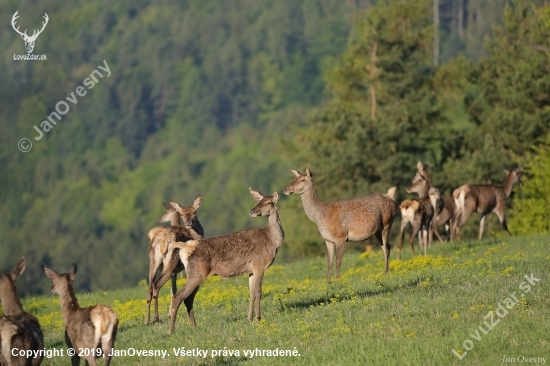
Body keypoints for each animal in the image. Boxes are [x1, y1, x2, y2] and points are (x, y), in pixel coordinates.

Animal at [147, 196, 205, 324]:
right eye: (181, 213)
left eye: (194, 212)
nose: (188, 223)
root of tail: (162, 240)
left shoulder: (175, 272)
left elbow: (173, 290)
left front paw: (169, 313)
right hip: (170, 262)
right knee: (156, 284)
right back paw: (156, 318)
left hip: (153, 262)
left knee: (150, 287)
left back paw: (147, 320)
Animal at [168, 189, 284, 334]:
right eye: (259, 201)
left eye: (268, 202)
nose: (252, 211)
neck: (272, 241)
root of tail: (186, 247)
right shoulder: (259, 264)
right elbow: (258, 292)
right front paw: (258, 318)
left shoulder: (251, 270)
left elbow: (251, 293)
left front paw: (249, 319)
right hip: (197, 273)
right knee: (178, 297)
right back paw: (171, 331)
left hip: (195, 274)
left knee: (188, 299)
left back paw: (195, 327)